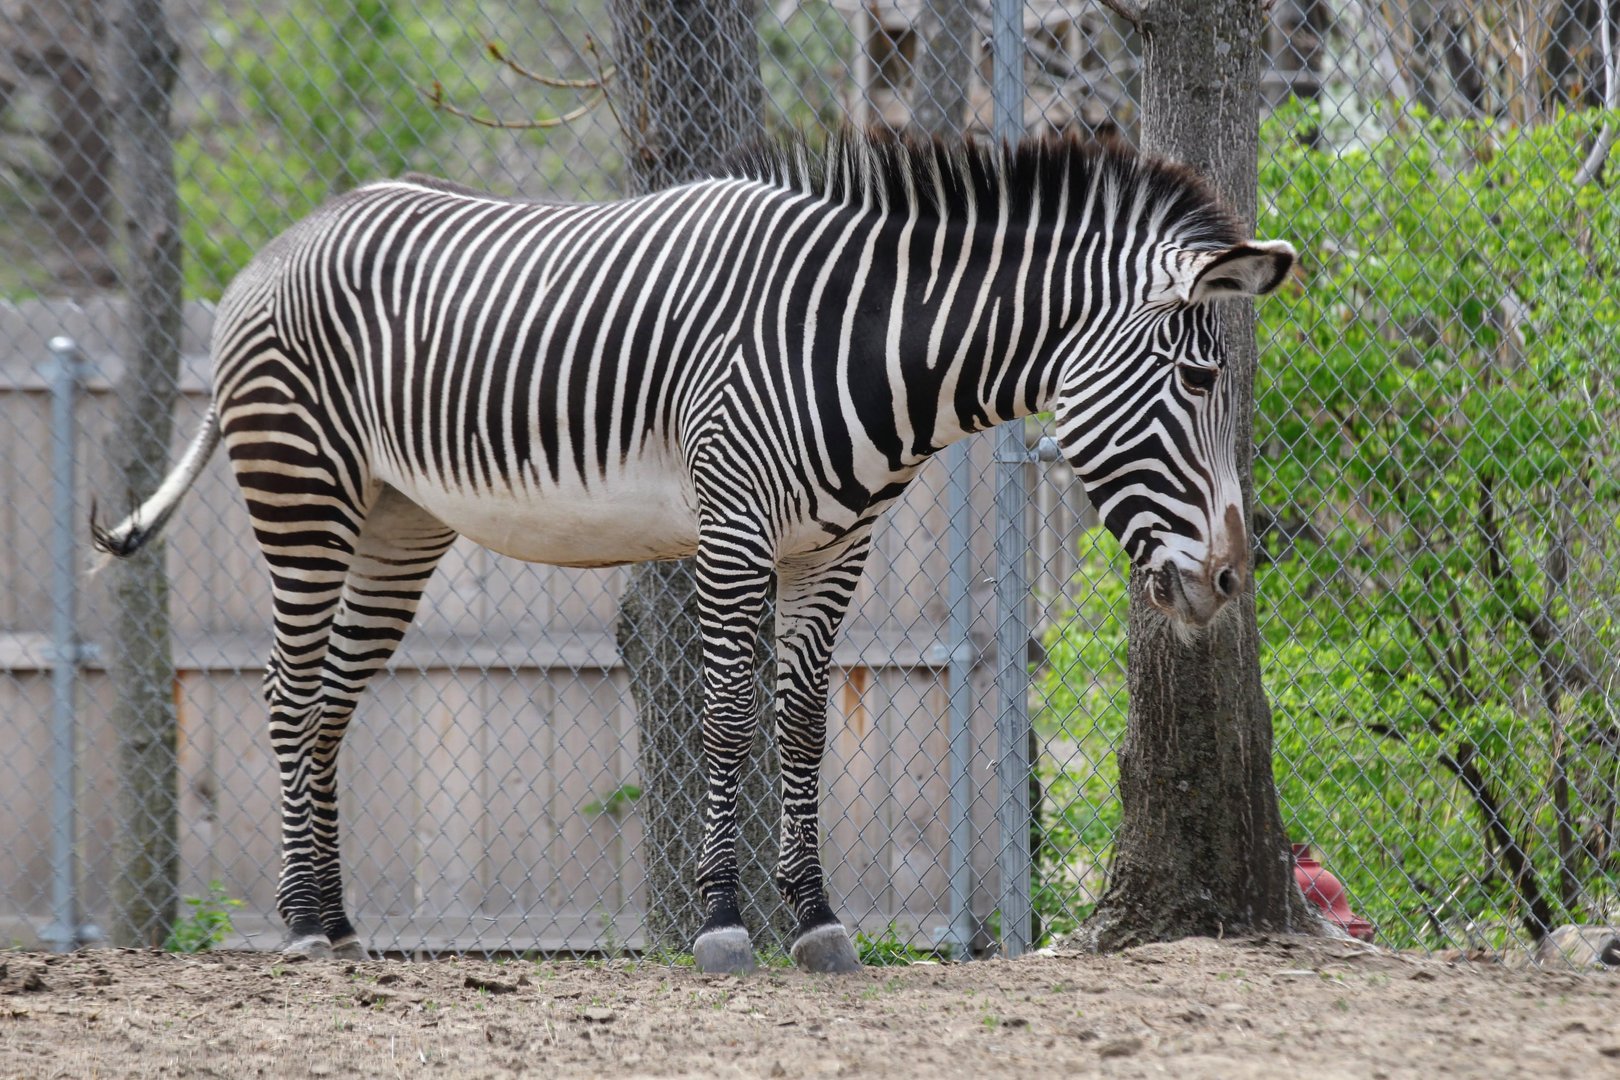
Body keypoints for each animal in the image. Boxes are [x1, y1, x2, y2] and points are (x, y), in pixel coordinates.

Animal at [92, 128, 1296, 974]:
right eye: (1199, 378)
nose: (1232, 580)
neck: (858, 344)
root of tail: (280, 241)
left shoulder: (835, 547)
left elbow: (802, 725)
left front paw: (815, 918)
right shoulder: (731, 524)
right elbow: (725, 716)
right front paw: (723, 923)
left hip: (400, 521)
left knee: (335, 697)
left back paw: (339, 920)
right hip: (303, 490)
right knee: (288, 689)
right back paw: (299, 921)